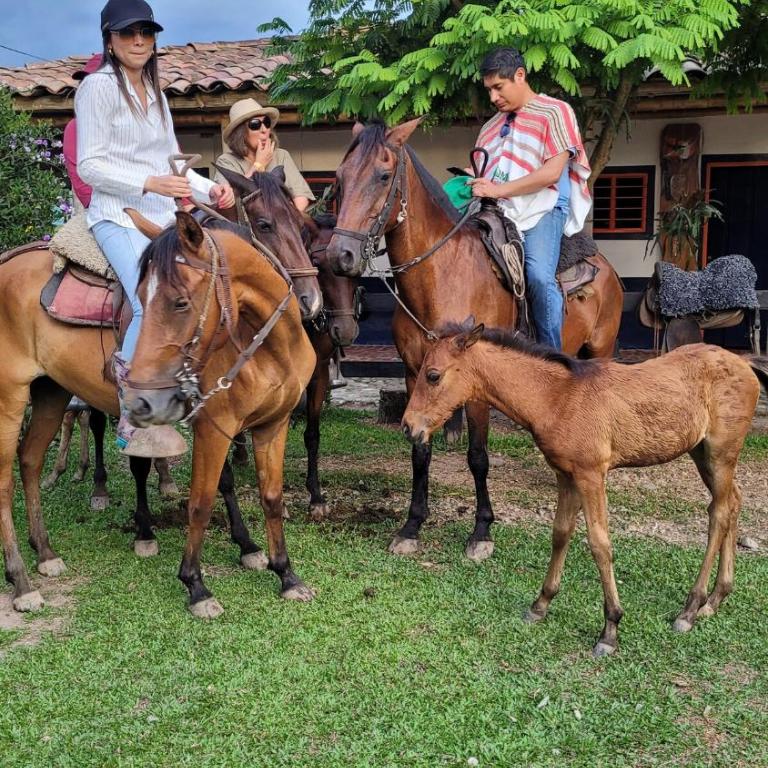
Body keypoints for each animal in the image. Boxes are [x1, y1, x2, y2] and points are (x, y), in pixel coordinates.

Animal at [124, 211, 316, 616]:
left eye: (180, 303)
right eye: (140, 297)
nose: (139, 402)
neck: (271, 348)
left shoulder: (272, 425)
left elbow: (270, 496)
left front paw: (285, 574)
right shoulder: (214, 429)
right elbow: (199, 503)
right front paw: (196, 586)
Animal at [327, 119, 624, 562]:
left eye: (382, 175)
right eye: (340, 179)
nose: (339, 256)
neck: (441, 277)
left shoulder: (479, 385)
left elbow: (478, 456)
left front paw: (482, 530)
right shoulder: (415, 375)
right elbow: (420, 449)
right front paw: (411, 526)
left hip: (601, 348)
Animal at [401, 322, 768, 655]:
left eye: (433, 375)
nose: (408, 427)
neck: (557, 397)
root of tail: (744, 363)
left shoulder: (592, 475)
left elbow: (600, 544)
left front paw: (610, 629)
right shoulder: (566, 476)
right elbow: (561, 533)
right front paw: (540, 605)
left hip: (721, 453)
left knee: (719, 513)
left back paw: (690, 609)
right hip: (701, 452)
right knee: (733, 502)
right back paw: (715, 599)